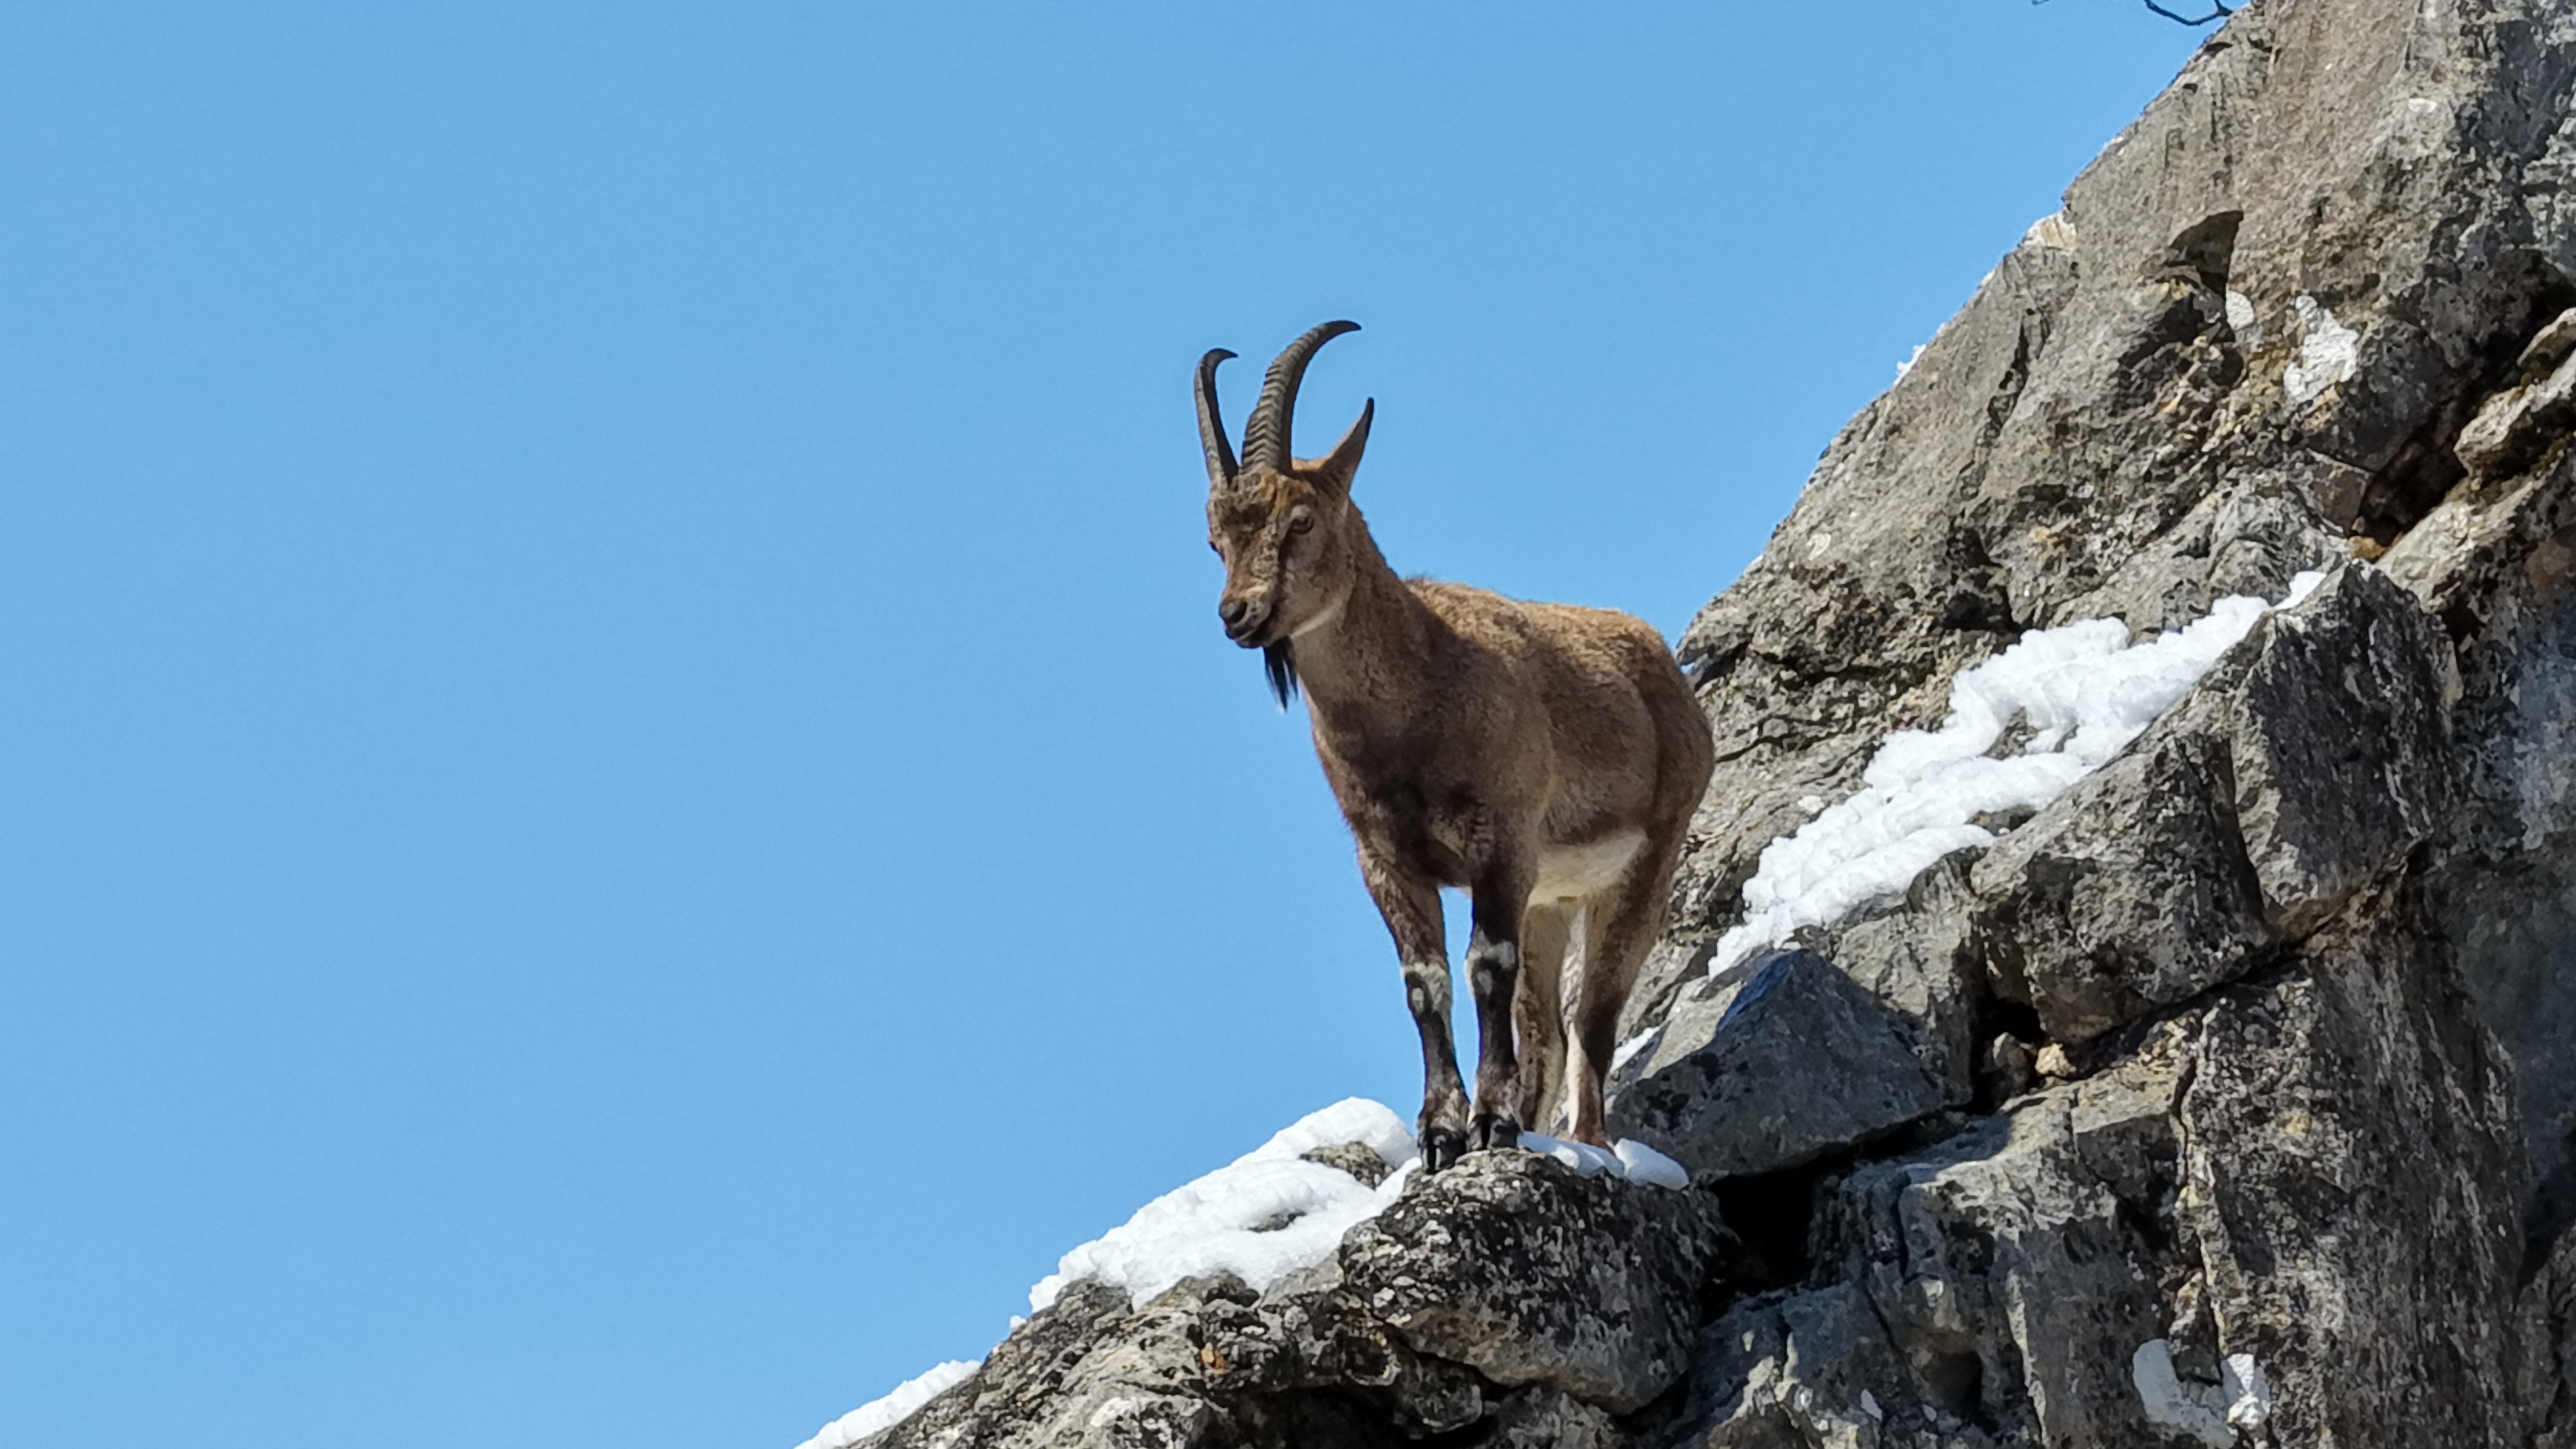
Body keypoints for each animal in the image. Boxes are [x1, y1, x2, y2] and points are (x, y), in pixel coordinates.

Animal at [1196, 321, 1715, 1171]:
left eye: (1300, 521)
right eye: (1214, 540)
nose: (1238, 614)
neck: (1417, 699)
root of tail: (1662, 667)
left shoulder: (1499, 841)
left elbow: (1483, 969)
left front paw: (1491, 1122)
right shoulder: (1387, 860)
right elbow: (1423, 982)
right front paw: (1441, 1132)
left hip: (1643, 867)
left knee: (1592, 1018)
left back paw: (1589, 1144)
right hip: (1550, 897)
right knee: (1546, 1023)